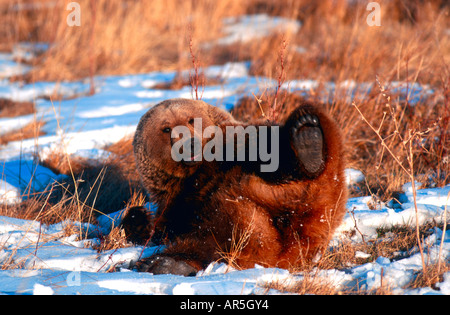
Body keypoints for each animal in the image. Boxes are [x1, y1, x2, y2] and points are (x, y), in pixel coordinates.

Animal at [130, 99, 348, 276]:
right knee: (212, 239)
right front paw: (138, 217)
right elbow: (161, 230)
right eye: (166, 128)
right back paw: (163, 263)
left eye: (191, 119)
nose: (190, 143)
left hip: (313, 193)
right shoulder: (174, 200)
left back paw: (307, 140)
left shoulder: (234, 143)